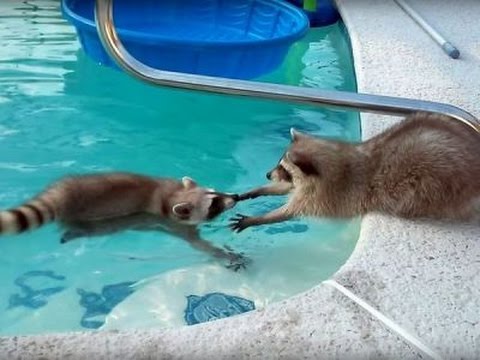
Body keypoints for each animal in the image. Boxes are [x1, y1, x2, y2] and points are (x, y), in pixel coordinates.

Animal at [0, 172, 248, 270]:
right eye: (214, 204)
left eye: (215, 192)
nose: (236, 196)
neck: (173, 197)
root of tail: (64, 192)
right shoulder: (175, 224)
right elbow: (199, 244)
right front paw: (225, 253)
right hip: (99, 221)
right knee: (90, 228)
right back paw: (74, 232)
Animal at [230, 111, 480, 232]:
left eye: (284, 168)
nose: (267, 175)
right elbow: (285, 189)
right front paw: (257, 190)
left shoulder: (323, 195)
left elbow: (290, 211)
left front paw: (258, 218)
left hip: (437, 183)